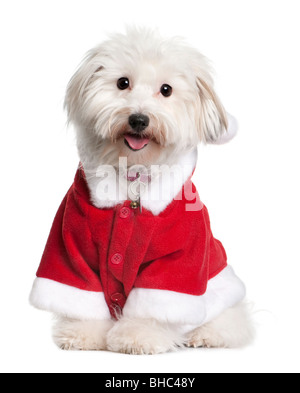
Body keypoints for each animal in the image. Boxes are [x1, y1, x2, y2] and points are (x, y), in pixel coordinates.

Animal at [29, 27, 253, 352]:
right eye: (123, 83)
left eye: (166, 90)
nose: (138, 119)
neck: (133, 176)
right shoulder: (69, 244)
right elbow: (79, 292)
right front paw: (83, 332)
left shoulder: (179, 259)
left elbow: (156, 303)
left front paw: (137, 335)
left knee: (231, 318)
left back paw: (206, 335)